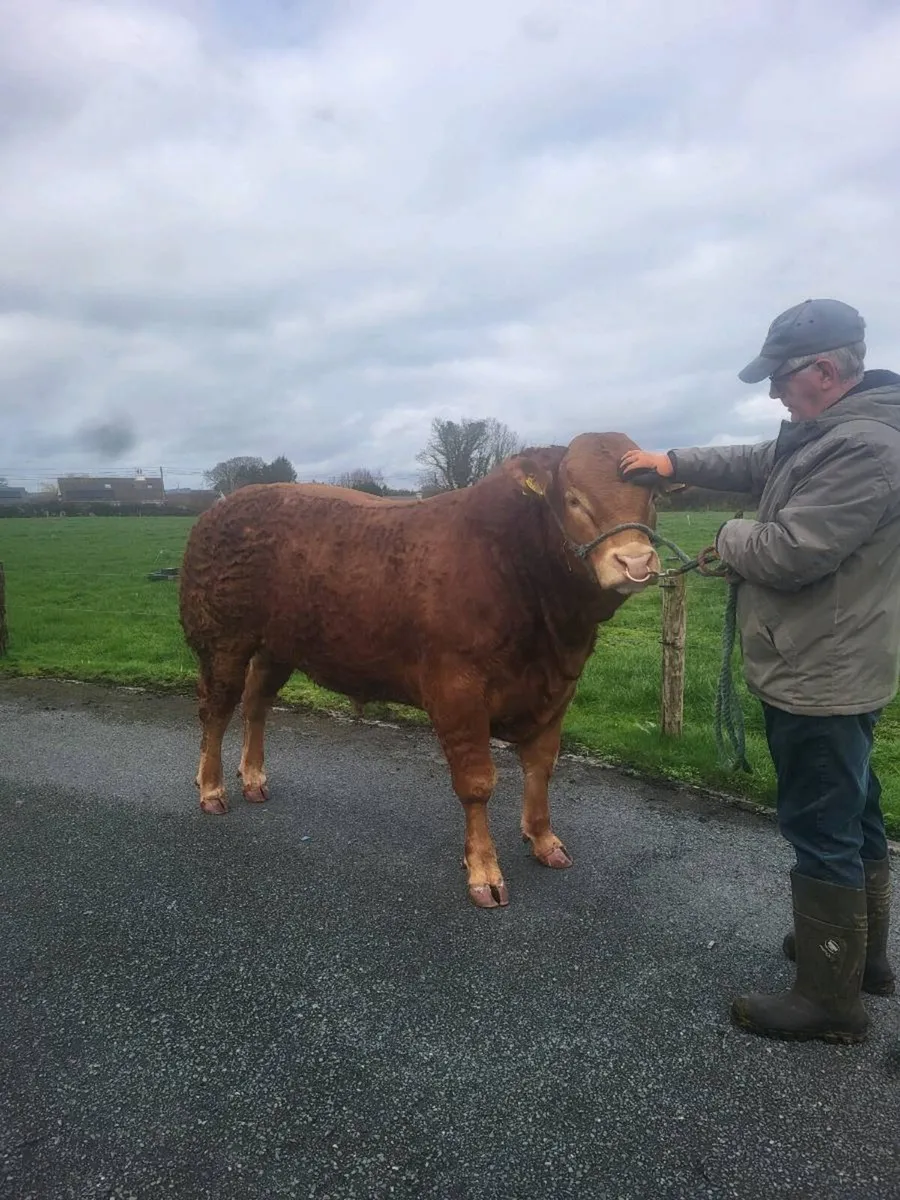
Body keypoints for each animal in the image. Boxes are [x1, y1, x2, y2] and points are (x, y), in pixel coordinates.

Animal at [178, 432, 663, 908]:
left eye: (652, 495)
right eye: (575, 499)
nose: (636, 562)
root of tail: (221, 506)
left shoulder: (557, 690)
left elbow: (541, 767)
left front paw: (544, 841)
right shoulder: (457, 691)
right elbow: (477, 783)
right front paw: (484, 872)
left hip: (277, 646)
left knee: (256, 704)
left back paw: (253, 778)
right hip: (222, 640)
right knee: (216, 710)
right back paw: (212, 790)